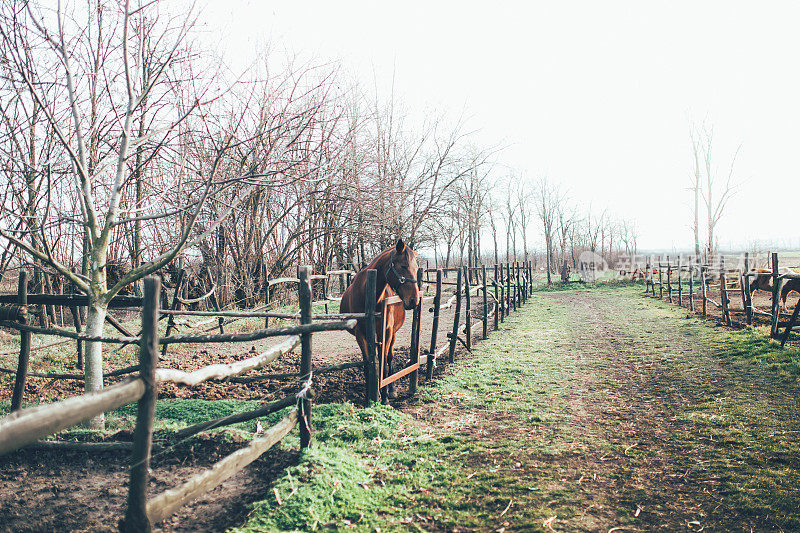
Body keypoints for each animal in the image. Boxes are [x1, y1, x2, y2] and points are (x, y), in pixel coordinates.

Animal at [340, 238, 422, 404]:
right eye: (403, 266)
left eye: (417, 268)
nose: (414, 300)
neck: (368, 296)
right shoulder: (360, 335)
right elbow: (368, 364)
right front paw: (369, 396)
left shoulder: (387, 331)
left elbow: (383, 362)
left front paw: (384, 397)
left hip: (392, 334)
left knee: (389, 357)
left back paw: (391, 390)